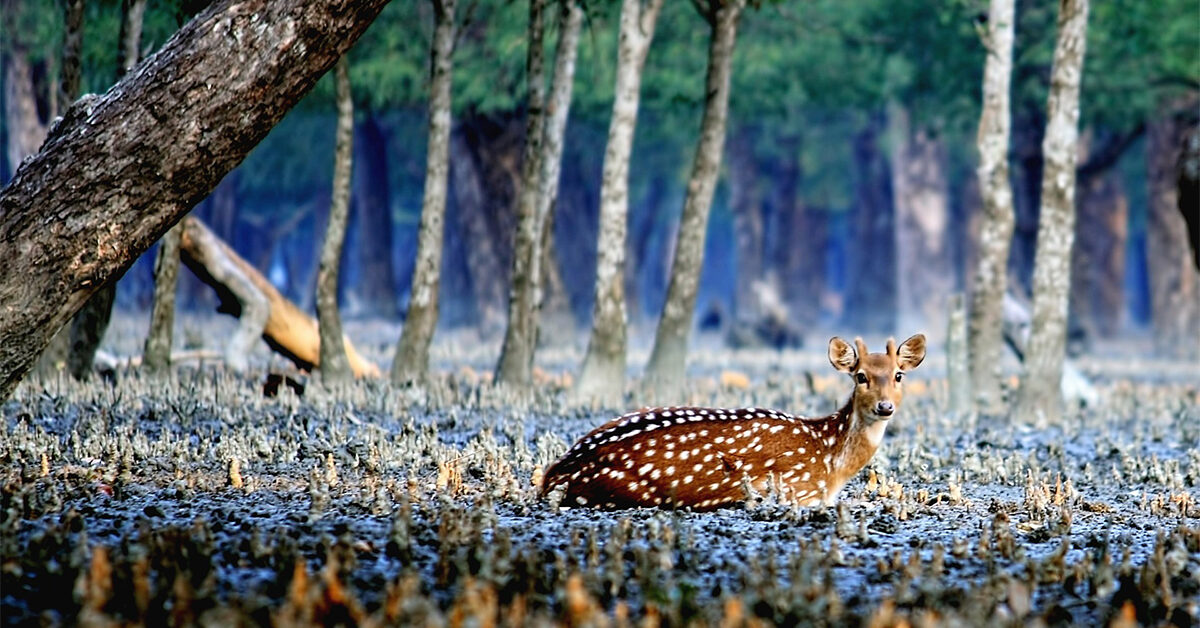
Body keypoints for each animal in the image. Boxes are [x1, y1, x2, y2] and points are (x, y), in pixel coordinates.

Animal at [544, 333, 926, 511]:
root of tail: (553, 475)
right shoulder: (798, 489)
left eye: (899, 374)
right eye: (860, 376)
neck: (830, 460)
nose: (885, 407)